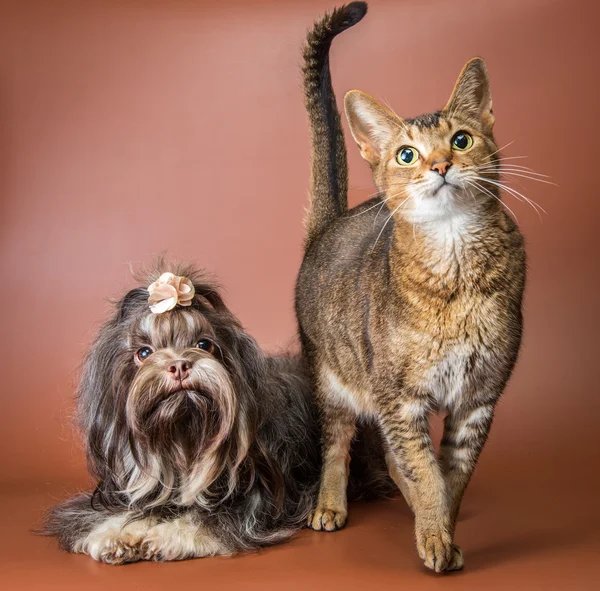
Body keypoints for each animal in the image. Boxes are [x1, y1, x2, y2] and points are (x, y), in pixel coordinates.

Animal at [42, 264, 394, 564]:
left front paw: (159, 538)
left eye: (204, 344)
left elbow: (207, 520)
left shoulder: (255, 504)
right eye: (143, 352)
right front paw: (115, 536)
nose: (179, 365)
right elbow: (107, 515)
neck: (183, 438)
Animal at [296, 1, 524, 572]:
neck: (458, 269)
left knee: (394, 452)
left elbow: (450, 476)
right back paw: (329, 504)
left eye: (461, 140)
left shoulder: (478, 398)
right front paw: (435, 535)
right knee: (338, 441)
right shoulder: (401, 398)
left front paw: (441, 528)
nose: (440, 165)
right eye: (406, 154)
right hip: (332, 376)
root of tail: (328, 225)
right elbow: (424, 472)